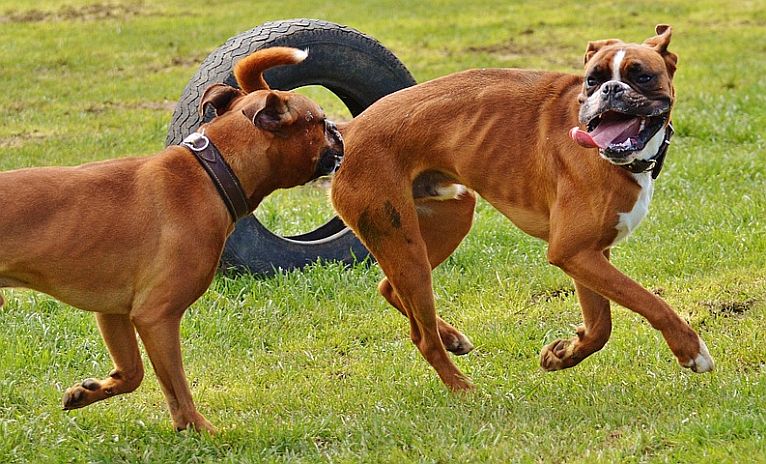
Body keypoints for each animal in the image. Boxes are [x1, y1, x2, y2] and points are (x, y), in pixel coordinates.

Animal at [0, 47, 344, 432]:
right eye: (319, 121)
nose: (338, 129)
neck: (212, 170)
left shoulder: (114, 312)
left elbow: (132, 373)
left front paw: (89, 392)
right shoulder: (157, 317)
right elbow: (178, 389)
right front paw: (199, 430)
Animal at [332, 23, 716, 390]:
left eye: (642, 77)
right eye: (593, 80)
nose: (611, 90)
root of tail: (347, 130)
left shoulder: (589, 255)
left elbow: (600, 328)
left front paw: (561, 356)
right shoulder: (572, 252)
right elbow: (648, 300)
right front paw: (690, 350)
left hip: (444, 222)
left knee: (389, 289)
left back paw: (452, 338)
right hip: (405, 247)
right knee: (423, 338)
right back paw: (464, 389)